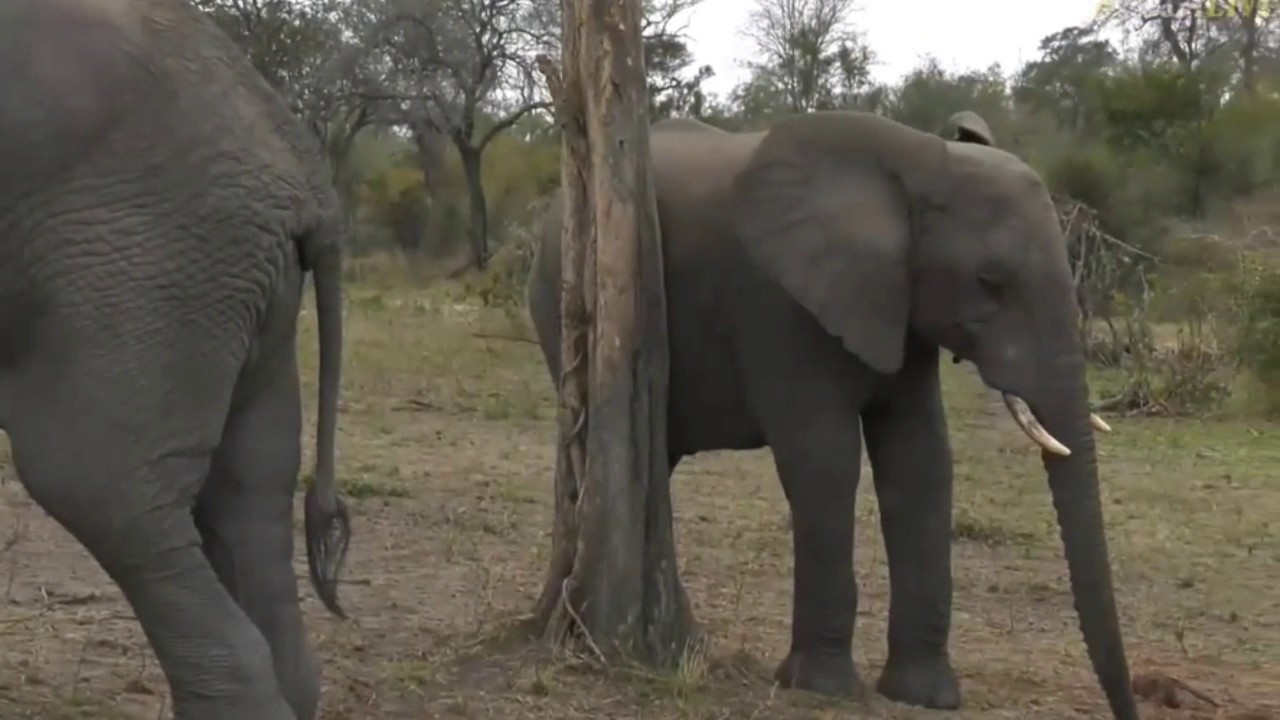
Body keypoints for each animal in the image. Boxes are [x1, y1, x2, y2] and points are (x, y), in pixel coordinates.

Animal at [526, 110, 1138, 718]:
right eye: (990, 281)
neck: (918, 162)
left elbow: (920, 460)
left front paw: (926, 696)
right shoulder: (781, 302)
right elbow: (825, 460)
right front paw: (821, 686)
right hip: (571, 299)